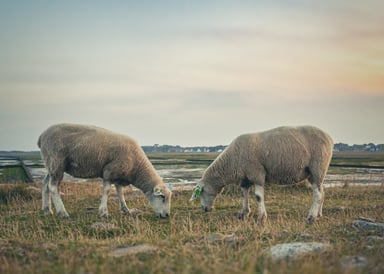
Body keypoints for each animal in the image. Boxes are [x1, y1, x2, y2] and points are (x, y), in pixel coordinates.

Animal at [37, 123, 171, 218]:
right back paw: (62, 213)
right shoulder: (109, 171)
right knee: (53, 187)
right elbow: (107, 191)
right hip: (57, 161)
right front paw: (103, 212)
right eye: (162, 197)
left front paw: (125, 209)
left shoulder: (119, 174)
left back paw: (47, 210)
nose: (167, 215)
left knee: (45, 183)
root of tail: (42, 136)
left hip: (51, 164)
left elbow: (120, 192)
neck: (136, 166)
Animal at [190, 125, 334, 224]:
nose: (205, 209)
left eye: (202, 192)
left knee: (318, 194)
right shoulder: (245, 178)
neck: (231, 162)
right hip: (315, 172)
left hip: (317, 167)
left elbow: (258, 197)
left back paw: (311, 217)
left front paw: (261, 217)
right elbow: (244, 195)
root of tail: (329, 137)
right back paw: (319, 214)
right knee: (322, 191)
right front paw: (244, 213)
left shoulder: (257, 174)